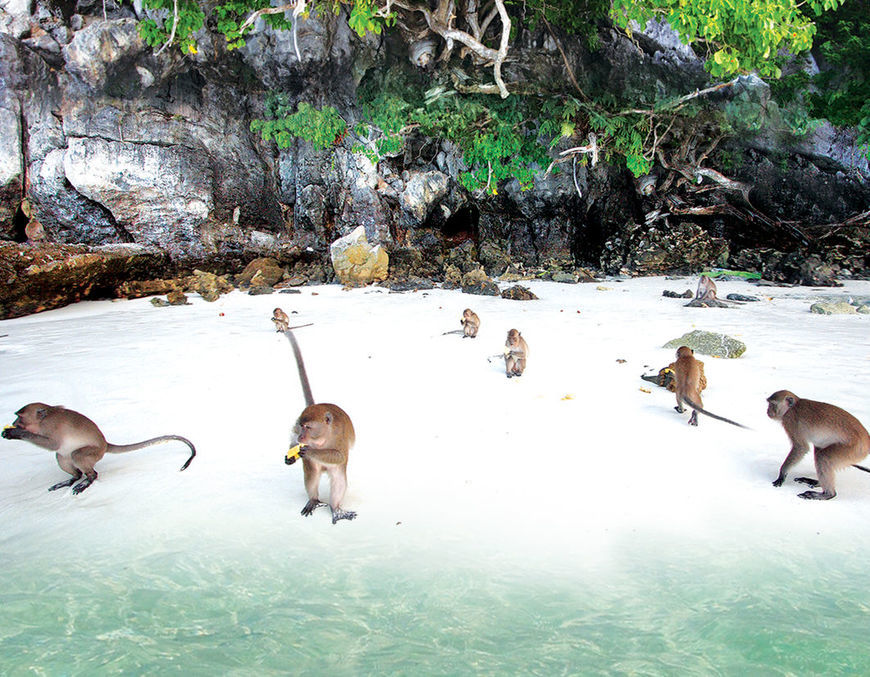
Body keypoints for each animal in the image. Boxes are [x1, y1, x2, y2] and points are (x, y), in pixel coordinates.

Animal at [2, 403, 196, 494]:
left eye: (19, 417)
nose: (13, 423)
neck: (44, 419)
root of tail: (105, 444)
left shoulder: (51, 427)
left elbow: (53, 444)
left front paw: (14, 433)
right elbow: (55, 448)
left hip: (93, 452)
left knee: (77, 455)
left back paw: (88, 479)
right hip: (77, 457)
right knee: (63, 457)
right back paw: (73, 478)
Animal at [284, 329, 356, 523]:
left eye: (308, 427)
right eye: (301, 425)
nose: (301, 436)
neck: (321, 438)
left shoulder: (339, 436)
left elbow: (339, 455)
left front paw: (309, 450)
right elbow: (291, 438)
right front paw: (291, 456)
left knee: (338, 479)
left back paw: (336, 509)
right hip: (313, 467)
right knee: (312, 476)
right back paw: (313, 500)